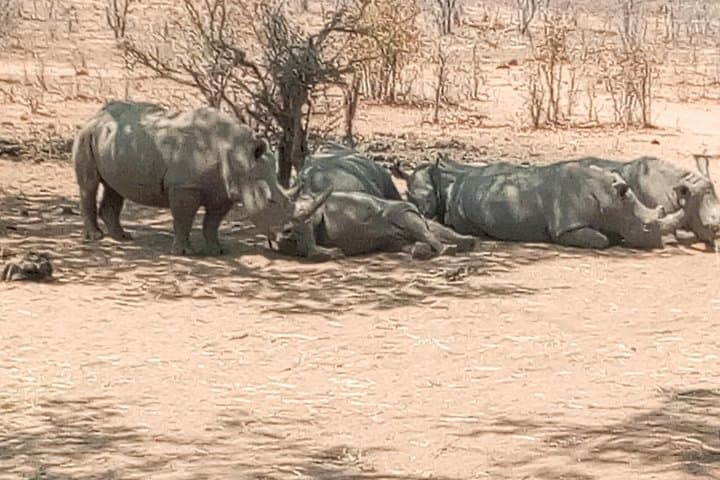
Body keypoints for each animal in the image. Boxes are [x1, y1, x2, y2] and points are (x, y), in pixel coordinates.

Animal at [73, 101, 329, 256]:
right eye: (271, 202)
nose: (293, 242)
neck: (241, 155)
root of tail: (97, 114)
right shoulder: (185, 186)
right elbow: (184, 218)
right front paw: (185, 252)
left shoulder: (226, 190)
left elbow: (213, 222)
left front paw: (217, 250)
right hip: (86, 134)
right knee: (89, 184)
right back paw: (95, 237)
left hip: (112, 140)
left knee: (115, 187)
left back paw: (123, 237)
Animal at [430, 162, 669, 249]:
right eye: (645, 227)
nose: (658, 245)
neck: (610, 197)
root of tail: (456, 182)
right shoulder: (566, 227)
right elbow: (600, 240)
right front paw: (608, 240)